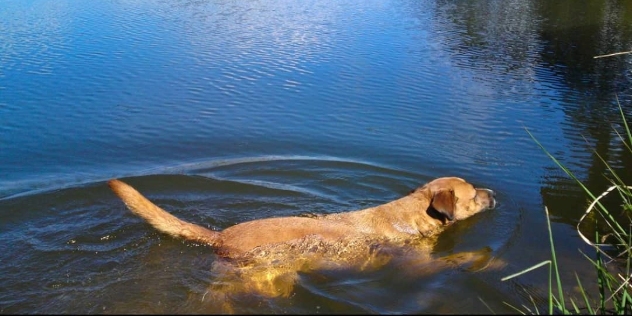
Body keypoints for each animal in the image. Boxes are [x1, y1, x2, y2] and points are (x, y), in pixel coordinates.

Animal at [110, 178, 504, 312]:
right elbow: (458, 260)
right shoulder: (418, 266)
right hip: (260, 282)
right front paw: (494, 263)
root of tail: (221, 236)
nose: (495, 193)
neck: (410, 214)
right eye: (473, 195)